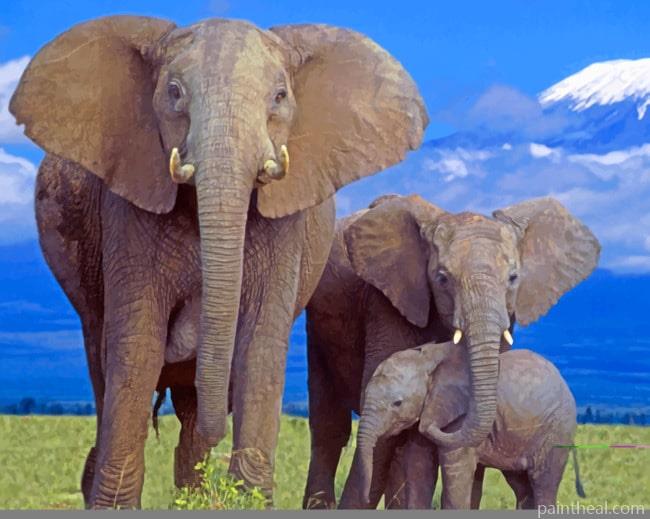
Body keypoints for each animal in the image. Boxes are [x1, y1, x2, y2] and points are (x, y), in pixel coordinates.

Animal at [9, 16, 427, 508]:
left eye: (279, 96)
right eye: (174, 92)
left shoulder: (285, 224)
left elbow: (260, 343)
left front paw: (246, 498)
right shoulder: (128, 206)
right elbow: (137, 343)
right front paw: (113, 504)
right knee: (103, 362)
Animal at [357, 341, 585, 509]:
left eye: (397, 403)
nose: (366, 499)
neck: (427, 359)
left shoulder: (458, 416)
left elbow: (456, 472)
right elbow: (419, 467)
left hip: (557, 429)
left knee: (543, 483)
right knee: (521, 485)